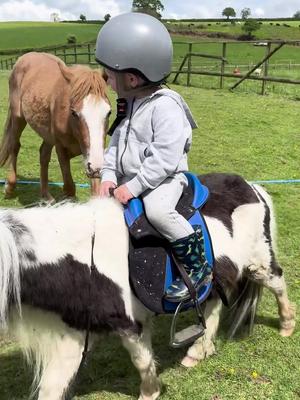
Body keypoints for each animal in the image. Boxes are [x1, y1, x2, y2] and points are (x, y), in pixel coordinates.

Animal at [0, 53, 110, 200]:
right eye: (74, 113)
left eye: (109, 112)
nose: (97, 167)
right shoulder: (61, 148)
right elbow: (69, 188)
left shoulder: (92, 156)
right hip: (18, 118)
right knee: (15, 145)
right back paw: (9, 187)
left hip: (47, 134)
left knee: (43, 154)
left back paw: (46, 196)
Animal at [0, 173, 296, 398]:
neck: (86, 257)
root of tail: (253, 187)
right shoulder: (74, 334)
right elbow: (53, 385)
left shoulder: (132, 324)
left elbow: (142, 361)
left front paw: (150, 391)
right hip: (214, 280)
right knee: (211, 308)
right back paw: (198, 351)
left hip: (258, 263)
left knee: (278, 282)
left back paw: (287, 325)